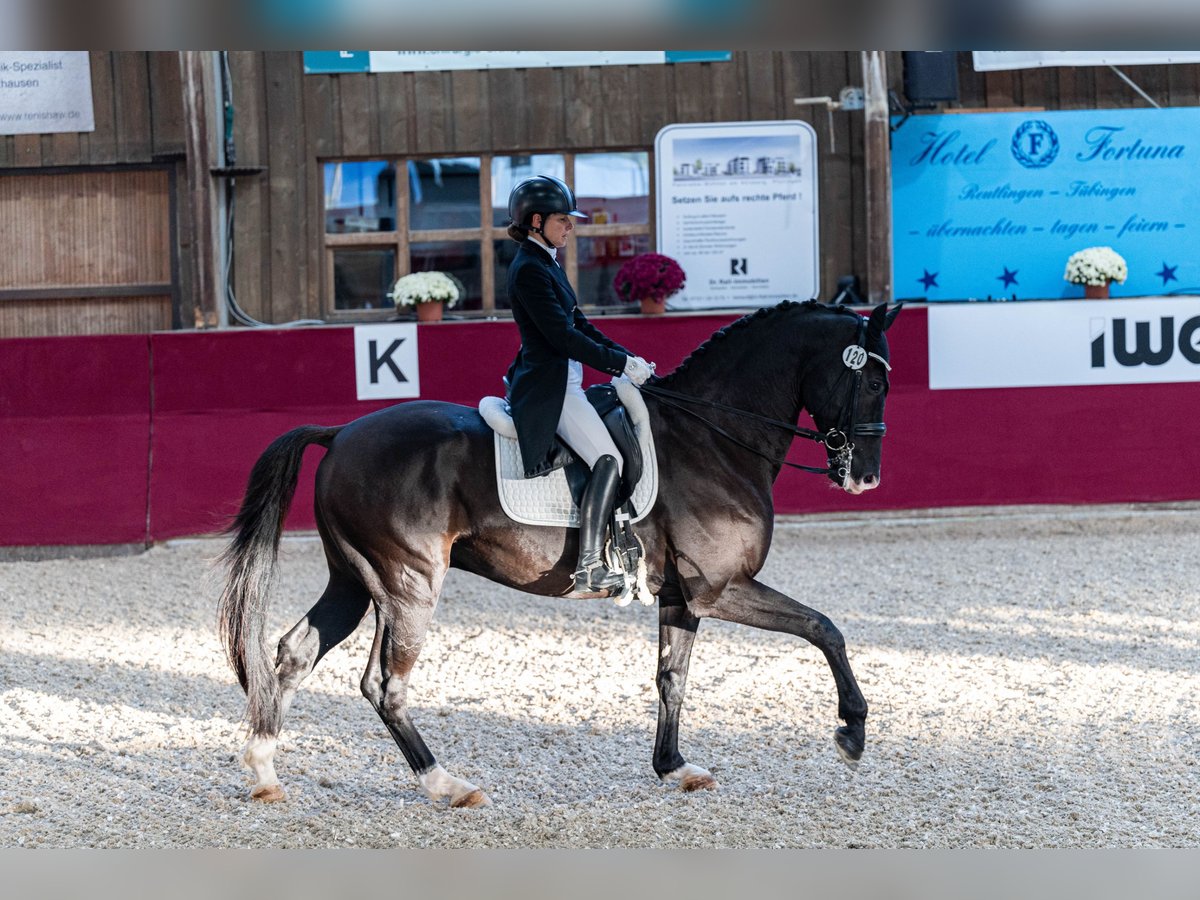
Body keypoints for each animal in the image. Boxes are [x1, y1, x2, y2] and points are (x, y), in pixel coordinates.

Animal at [218, 301, 902, 811]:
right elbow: (825, 628)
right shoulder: (721, 587)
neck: (712, 438)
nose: (865, 477)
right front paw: (852, 731)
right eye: (872, 380)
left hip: (354, 582)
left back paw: (265, 772)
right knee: (384, 684)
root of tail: (340, 434)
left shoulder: (683, 596)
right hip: (408, 583)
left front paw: (674, 767)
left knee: (295, 651)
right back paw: (447, 784)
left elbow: (672, 678)